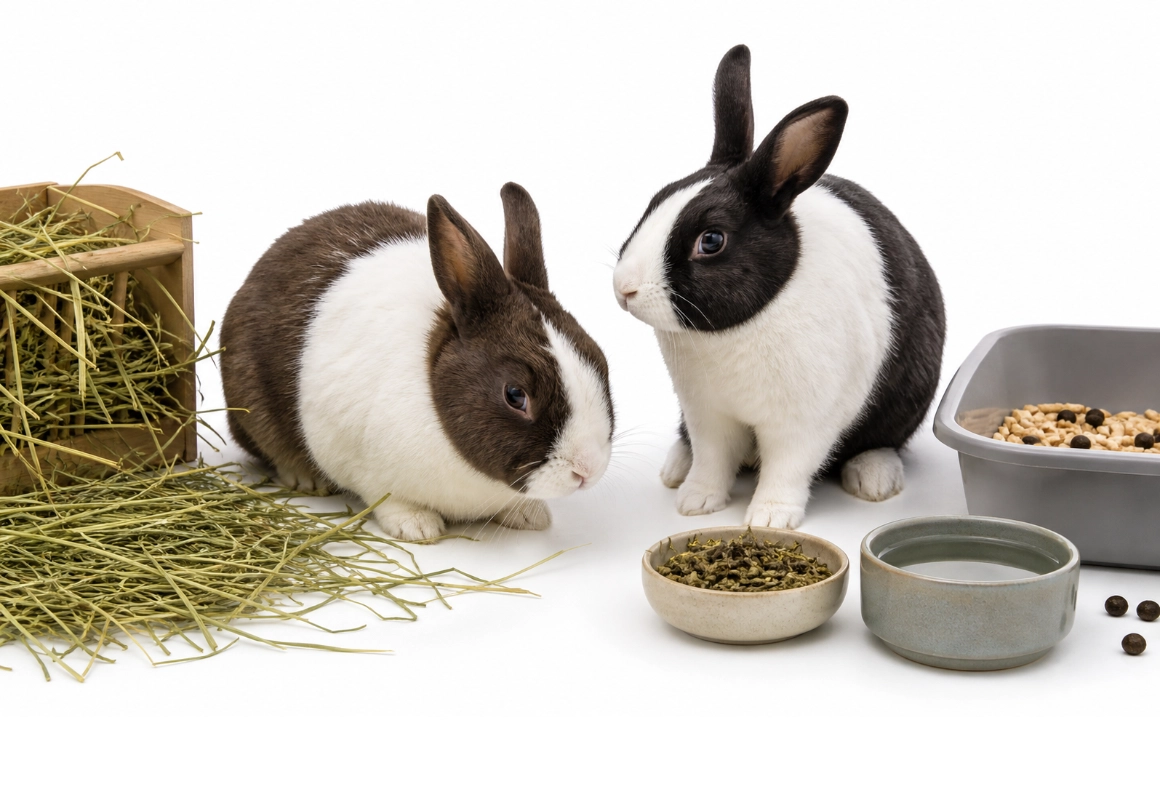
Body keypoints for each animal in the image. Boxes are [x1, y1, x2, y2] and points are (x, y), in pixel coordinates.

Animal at [221, 183, 614, 541]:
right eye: (515, 395)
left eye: (600, 362)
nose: (587, 470)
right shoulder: (363, 464)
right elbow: (388, 499)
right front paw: (417, 527)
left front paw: (531, 516)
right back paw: (307, 478)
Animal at [611, 44, 945, 529]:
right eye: (654, 202)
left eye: (711, 241)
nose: (624, 289)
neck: (733, 334)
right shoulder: (706, 413)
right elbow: (712, 458)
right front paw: (696, 502)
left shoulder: (805, 421)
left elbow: (788, 467)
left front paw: (768, 520)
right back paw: (676, 469)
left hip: (908, 397)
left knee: (882, 440)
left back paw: (874, 479)